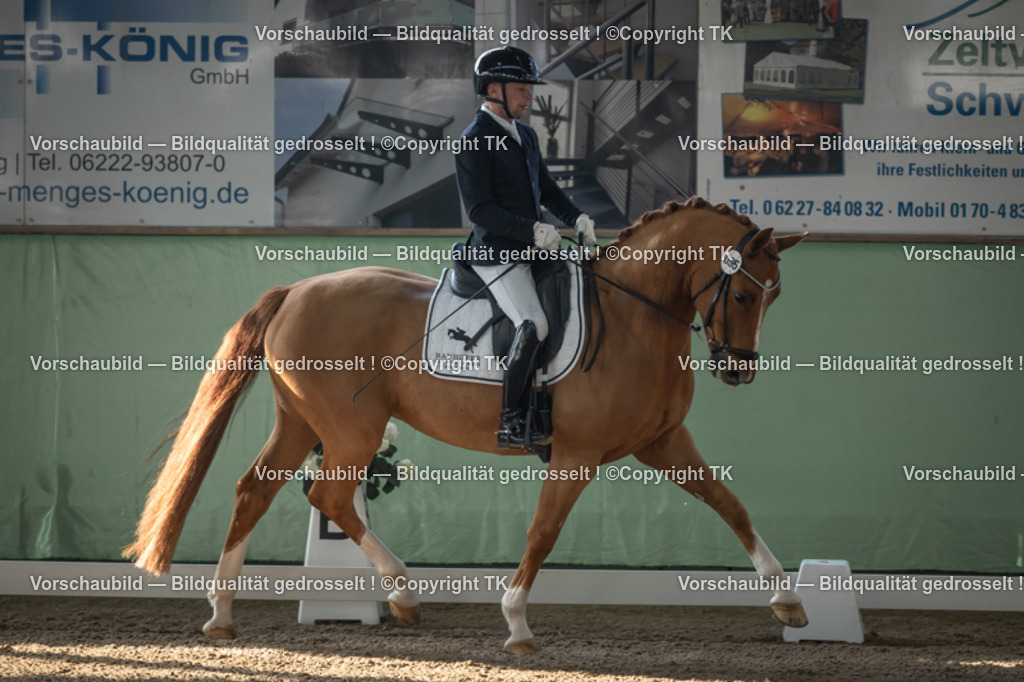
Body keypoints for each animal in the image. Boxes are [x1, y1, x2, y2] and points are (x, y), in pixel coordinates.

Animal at [123, 196, 808, 654]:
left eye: (774, 297)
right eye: (744, 295)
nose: (739, 372)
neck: (632, 318)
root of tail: (295, 290)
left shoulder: (663, 442)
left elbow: (730, 504)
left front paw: (788, 600)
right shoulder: (577, 454)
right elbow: (543, 532)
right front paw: (517, 624)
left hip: (301, 423)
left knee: (254, 490)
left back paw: (222, 613)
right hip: (350, 429)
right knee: (329, 496)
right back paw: (401, 595)